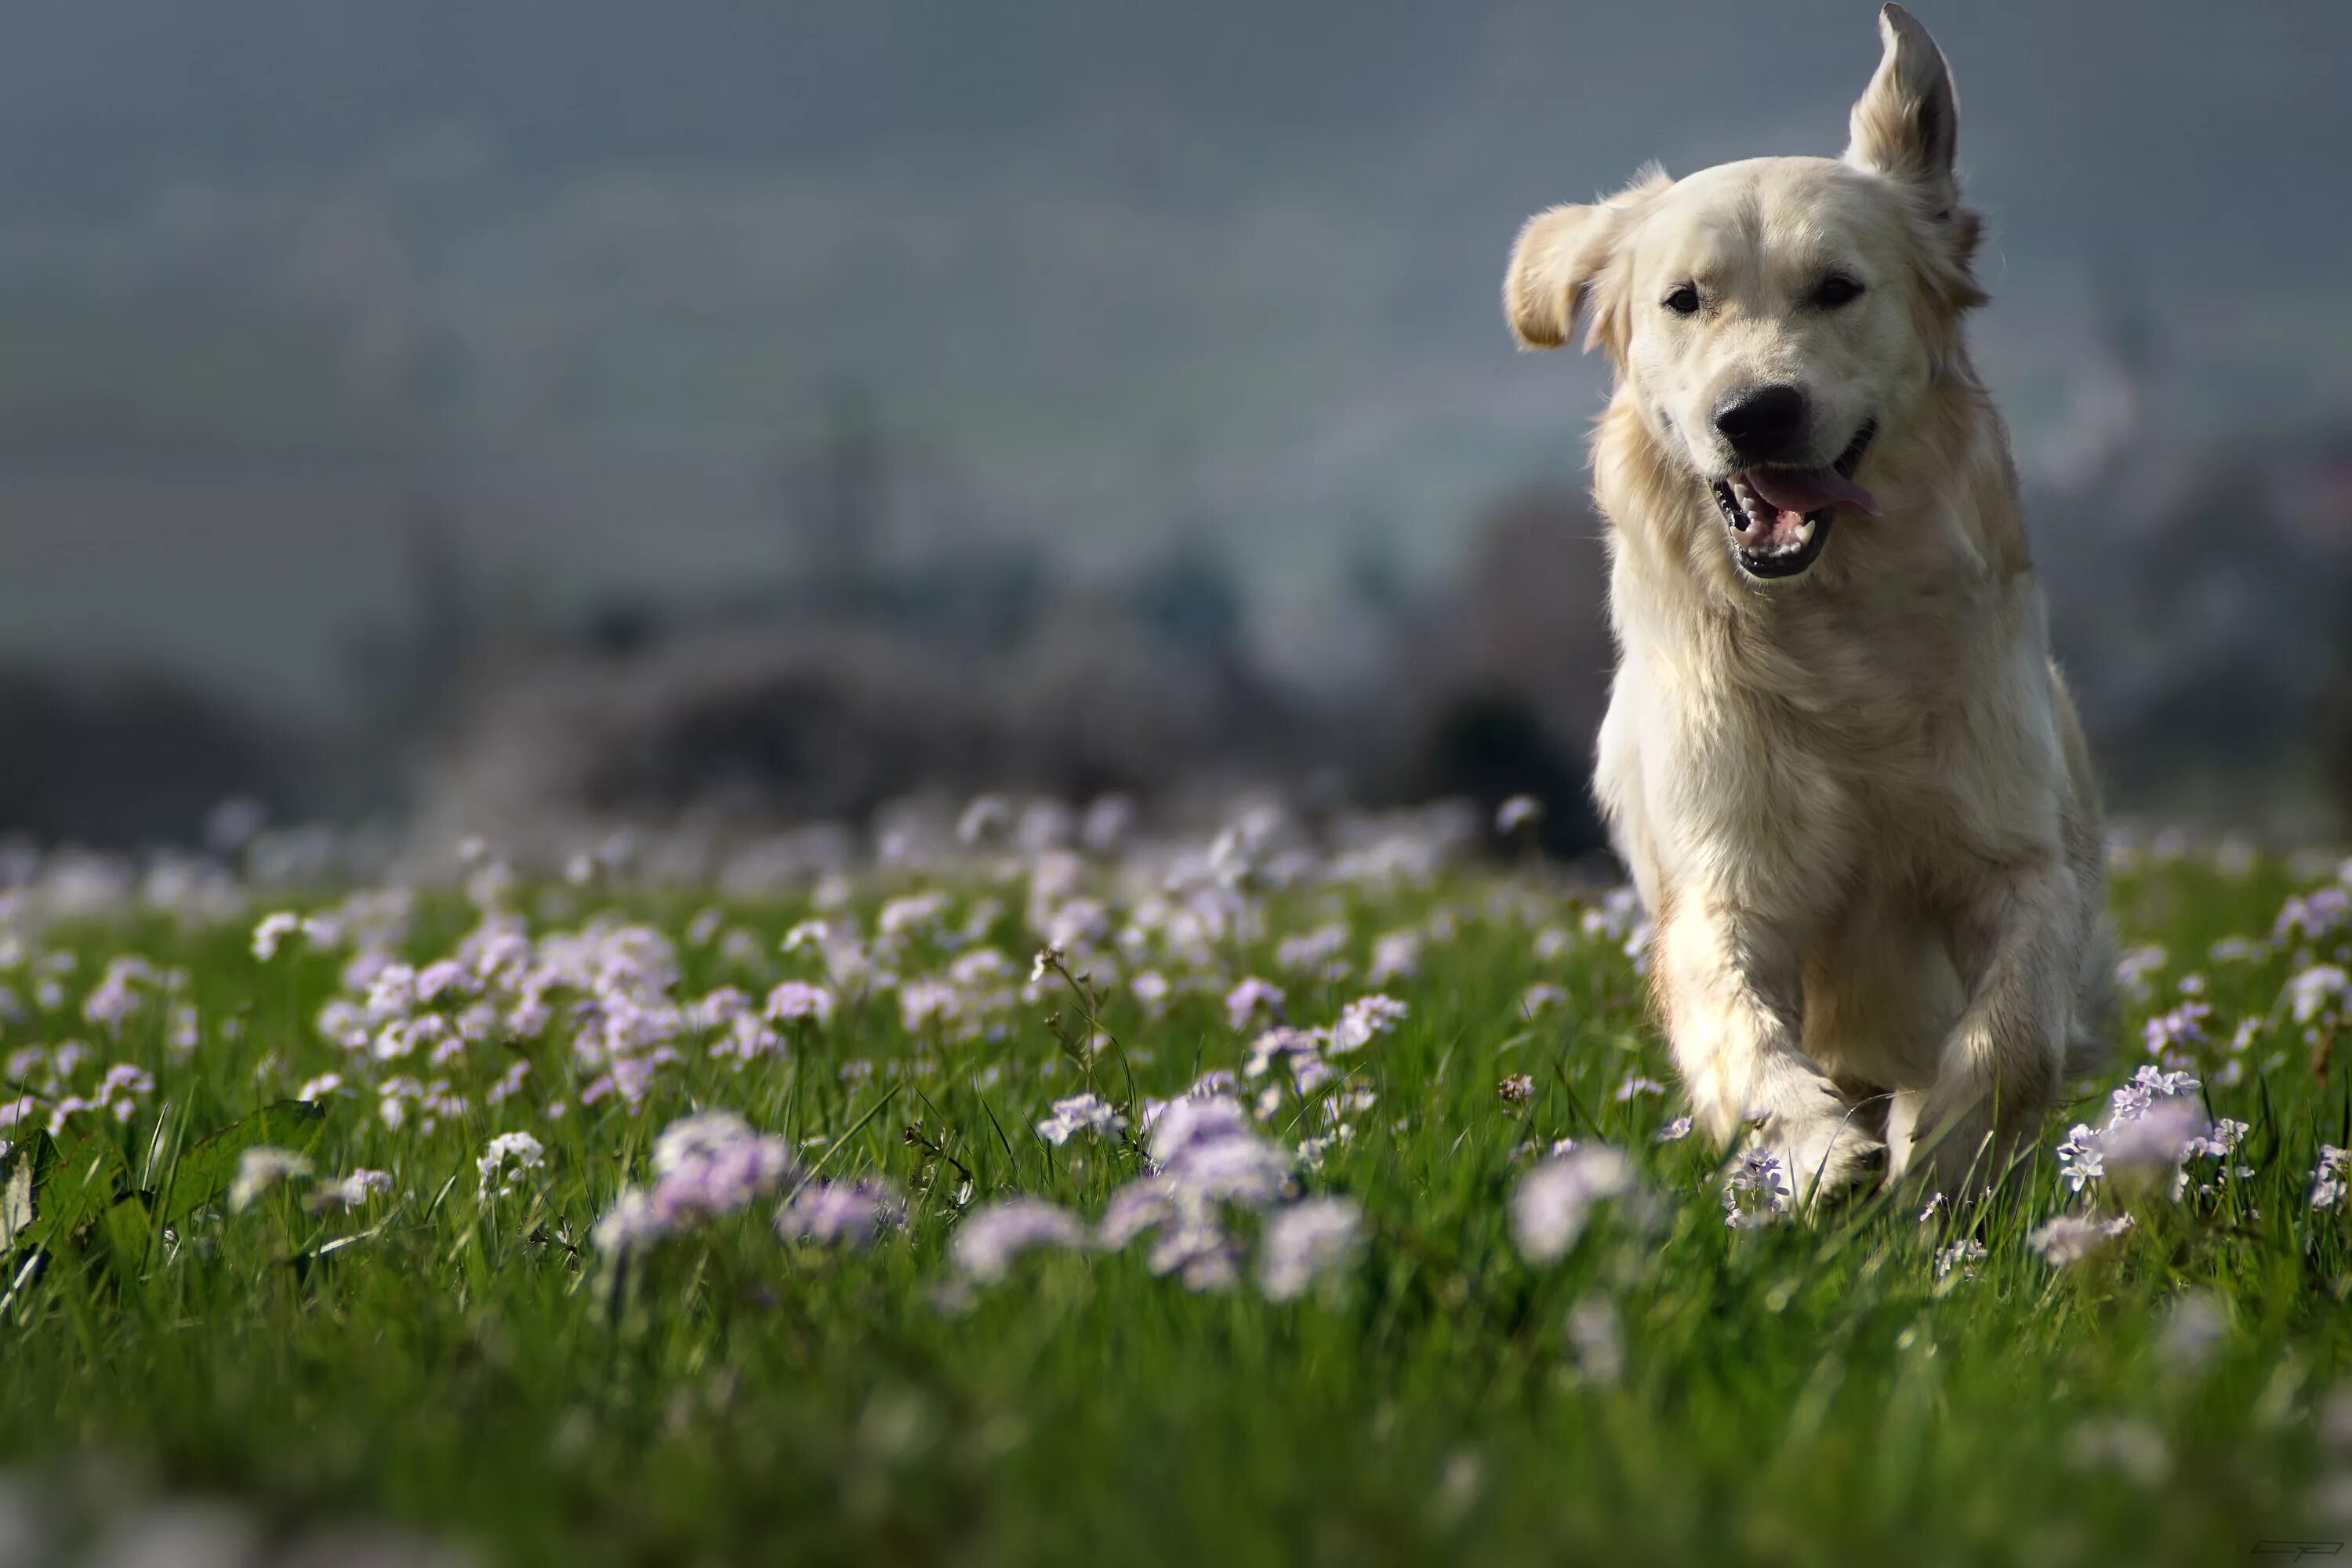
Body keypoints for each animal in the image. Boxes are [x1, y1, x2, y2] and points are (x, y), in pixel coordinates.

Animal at [1505, 5, 2117, 1203]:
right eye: (1683, 301)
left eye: (1838, 288)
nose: (1755, 413)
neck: (1835, 631)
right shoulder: (1722, 883)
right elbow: (1741, 1029)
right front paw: (1817, 1152)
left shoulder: (2019, 859)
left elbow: (2012, 1031)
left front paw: (1938, 1159)